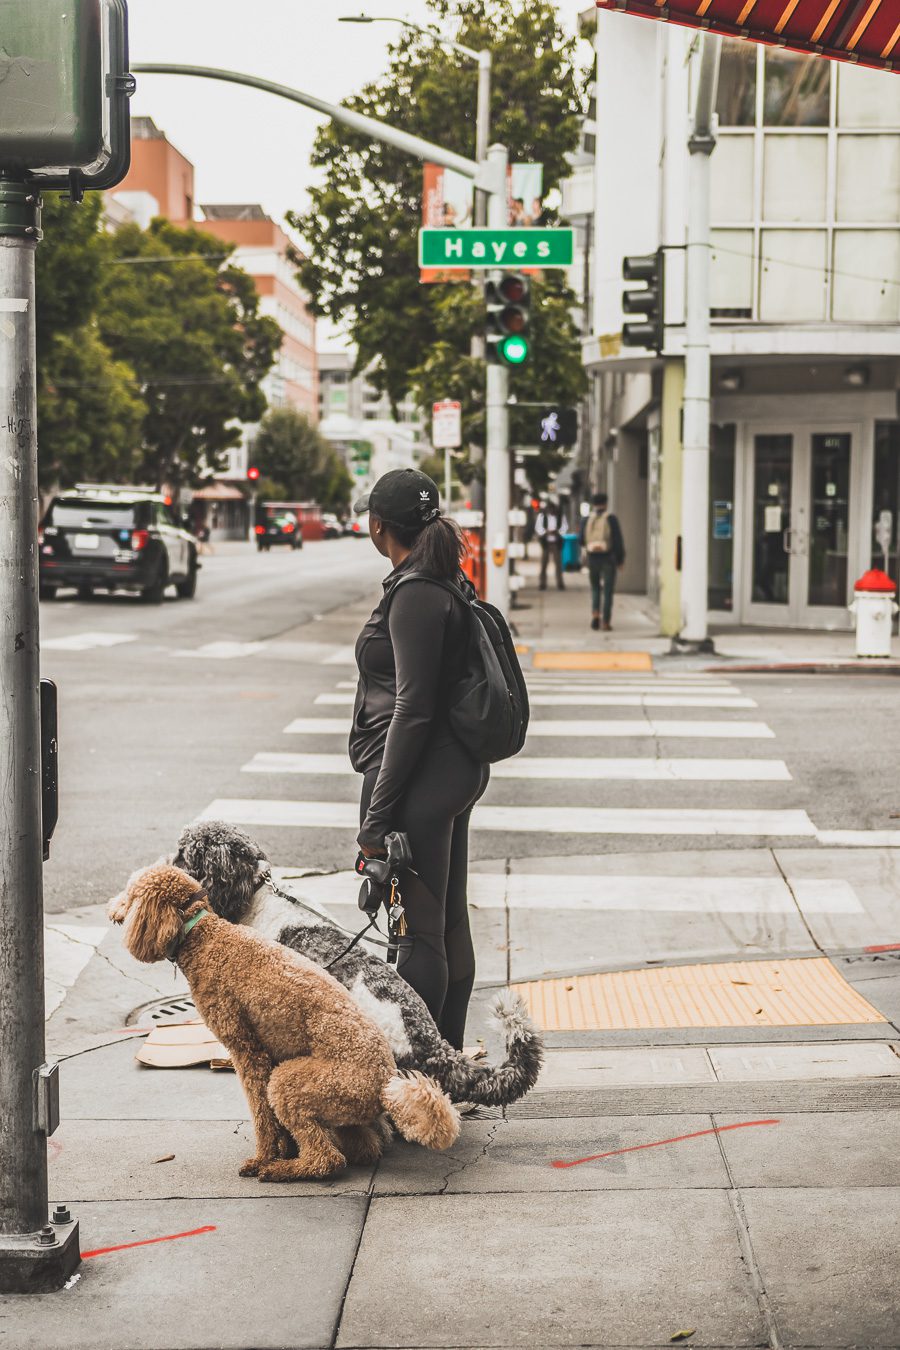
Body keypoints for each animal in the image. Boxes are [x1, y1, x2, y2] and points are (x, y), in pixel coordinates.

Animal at [112, 869, 461, 1177]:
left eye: (129, 893)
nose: (111, 909)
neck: (205, 935)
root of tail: (385, 1086)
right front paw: (281, 1148)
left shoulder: (247, 1052)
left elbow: (262, 1114)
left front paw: (264, 1156)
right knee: (363, 1146)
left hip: (294, 1084)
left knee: (325, 1159)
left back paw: (282, 1169)